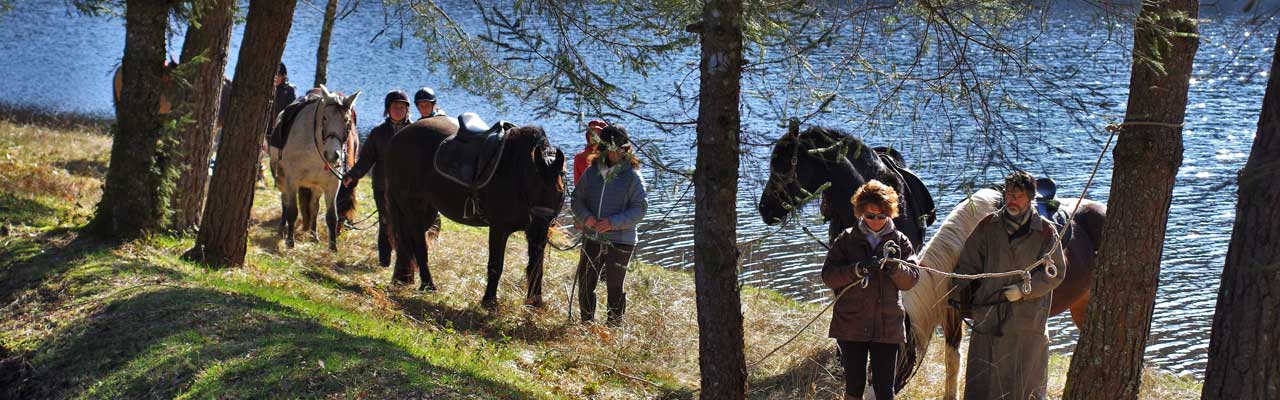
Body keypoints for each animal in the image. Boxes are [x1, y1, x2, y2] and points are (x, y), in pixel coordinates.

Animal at [268, 85, 360, 250]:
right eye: (324, 118)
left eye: (346, 120)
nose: (332, 155)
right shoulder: (292, 180)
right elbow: (292, 211)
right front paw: (290, 242)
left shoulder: (332, 184)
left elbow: (331, 216)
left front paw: (333, 247)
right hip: (281, 179)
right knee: (285, 200)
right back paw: (283, 228)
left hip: (315, 186)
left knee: (314, 207)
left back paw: (314, 235)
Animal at [376, 114, 563, 307]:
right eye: (533, 183)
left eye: (558, 189)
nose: (539, 230)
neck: (516, 171)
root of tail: (397, 138)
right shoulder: (499, 228)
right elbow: (496, 265)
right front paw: (489, 301)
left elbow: (536, 266)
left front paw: (535, 301)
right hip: (412, 209)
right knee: (418, 245)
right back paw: (427, 285)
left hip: (426, 211)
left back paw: (403, 278)